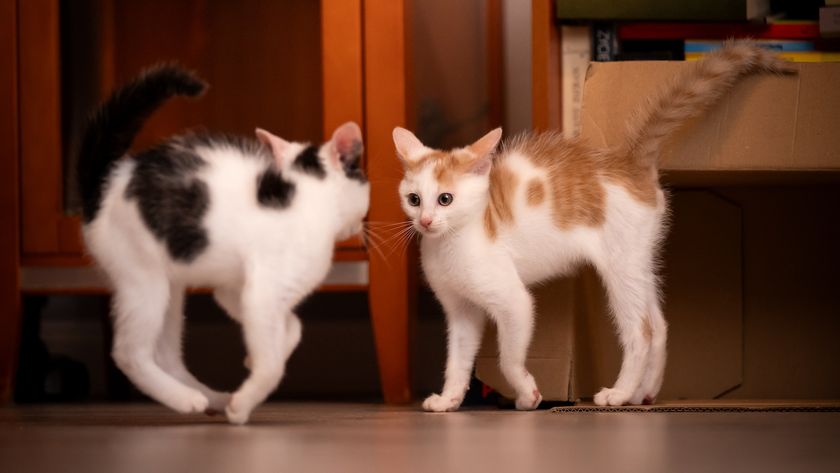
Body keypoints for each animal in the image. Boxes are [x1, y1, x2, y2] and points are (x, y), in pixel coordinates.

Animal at [392, 42, 796, 412]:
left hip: (620, 266)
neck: (453, 241)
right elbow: (457, 360)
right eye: (414, 199)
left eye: (446, 199)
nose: (425, 221)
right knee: (659, 326)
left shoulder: (513, 301)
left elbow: (508, 358)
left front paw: (527, 395)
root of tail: (628, 162)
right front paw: (449, 398)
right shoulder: (461, 311)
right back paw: (642, 393)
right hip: (640, 262)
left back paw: (618, 394)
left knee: (641, 331)